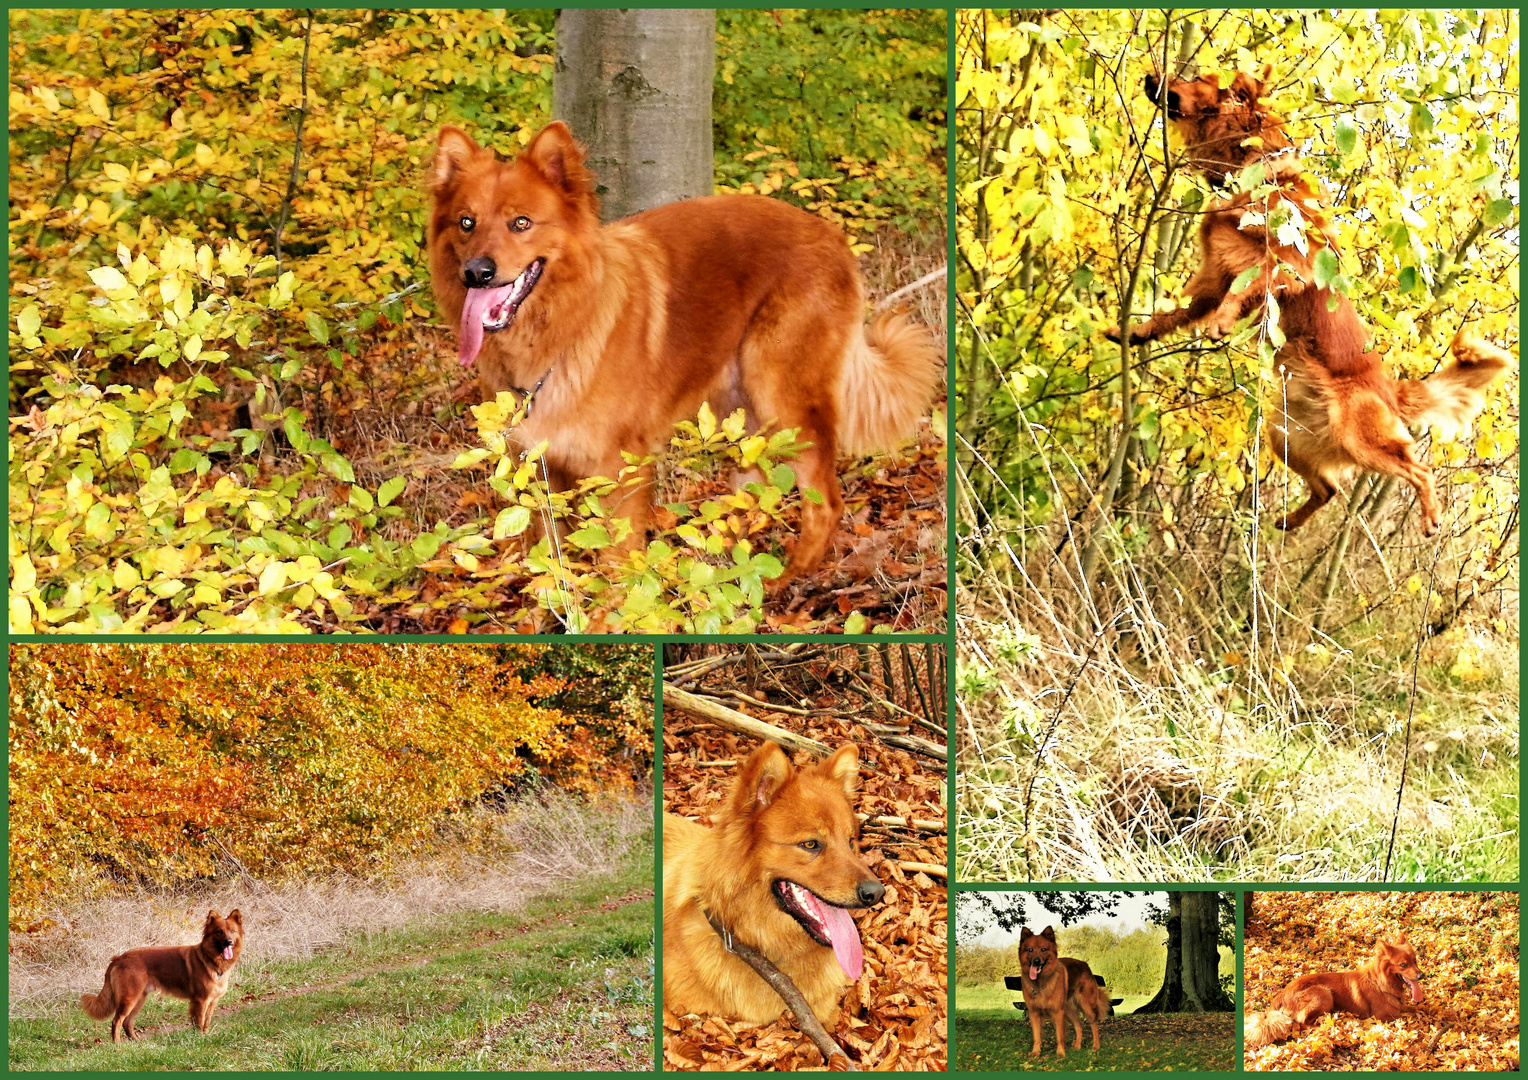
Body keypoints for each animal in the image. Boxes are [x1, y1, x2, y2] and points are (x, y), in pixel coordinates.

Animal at [81, 910, 244, 1044]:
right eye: (219, 932)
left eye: (232, 931)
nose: (228, 941)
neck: (210, 960)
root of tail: (119, 958)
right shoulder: (200, 1001)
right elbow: (198, 1022)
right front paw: (199, 1038)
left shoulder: (212, 1001)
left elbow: (206, 1022)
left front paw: (205, 1035)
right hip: (129, 998)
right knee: (117, 1021)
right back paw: (117, 1044)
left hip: (139, 999)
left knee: (127, 1022)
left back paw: (136, 1041)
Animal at [1106, 66, 1509, 537]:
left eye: (1195, 77)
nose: (1150, 75)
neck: (1255, 168)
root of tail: (1390, 390)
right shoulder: (1212, 280)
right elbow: (1172, 314)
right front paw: (1134, 332)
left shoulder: (1288, 267)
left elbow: (1247, 287)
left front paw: (1220, 324)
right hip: (1285, 436)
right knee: (1329, 489)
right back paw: (1287, 521)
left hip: (1360, 436)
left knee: (1417, 469)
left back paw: (1429, 515)